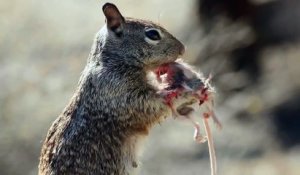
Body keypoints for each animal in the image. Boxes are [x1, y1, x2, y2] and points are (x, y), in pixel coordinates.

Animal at [38, 2, 195, 175]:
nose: (183, 49)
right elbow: (152, 105)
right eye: (153, 34)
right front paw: (185, 93)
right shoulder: (121, 94)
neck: (111, 61)